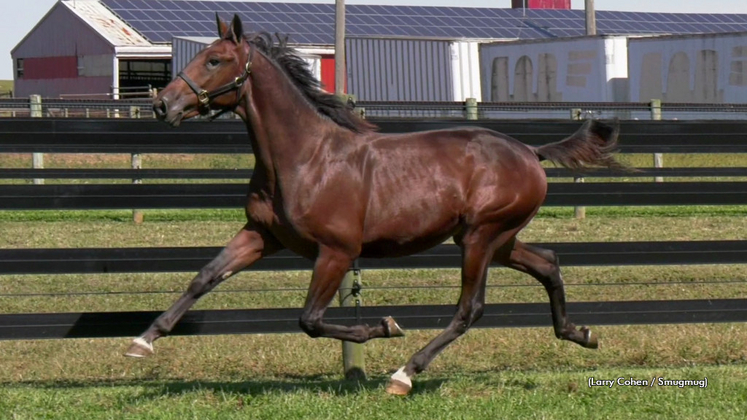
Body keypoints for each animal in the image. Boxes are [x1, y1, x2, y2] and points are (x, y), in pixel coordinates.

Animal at [124, 14, 624, 396]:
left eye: (215, 60)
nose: (163, 104)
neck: (305, 157)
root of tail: (531, 152)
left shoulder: (336, 251)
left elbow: (310, 319)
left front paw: (383, 327)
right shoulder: (261, 236)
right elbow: (204, 277)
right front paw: (142, 341)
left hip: (481, 238)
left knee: (470, 309)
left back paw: (404, 374)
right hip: (496, 239)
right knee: (548, 262)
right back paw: (581, 334)